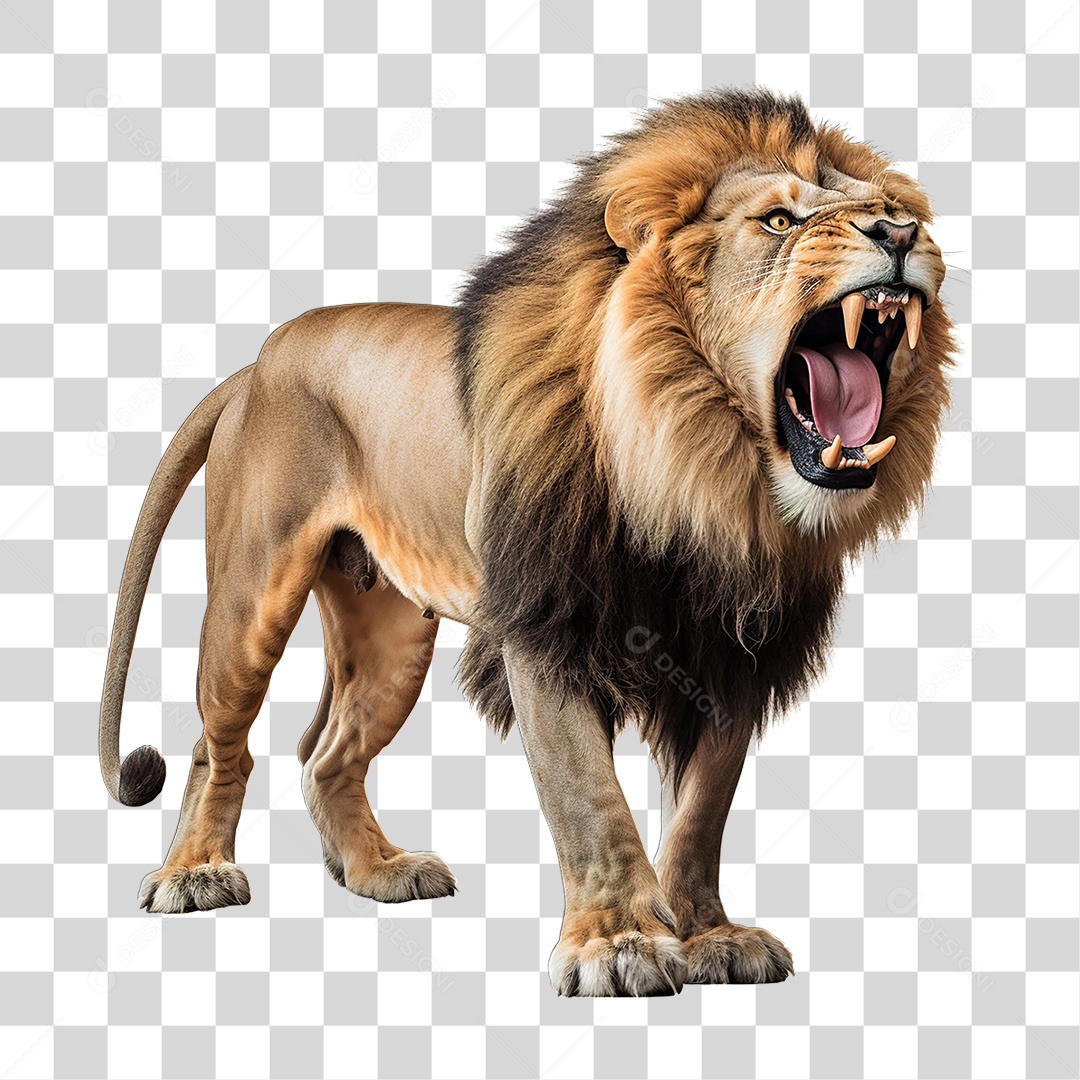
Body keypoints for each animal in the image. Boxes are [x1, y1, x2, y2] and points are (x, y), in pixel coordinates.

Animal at [99, 88, 952, 996]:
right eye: (780, 220)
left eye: (892, 207)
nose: (900, 232)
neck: (695, 479)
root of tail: (256, 364)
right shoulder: (549, 623)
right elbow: (590, 798)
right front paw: (618, 946)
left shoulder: (733, 650)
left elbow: (700, 810)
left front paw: (708, 934)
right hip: (251, 596)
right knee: (215, 744)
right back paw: (193, 873)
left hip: (388, 632)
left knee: (326, 757)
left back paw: (381, 871)